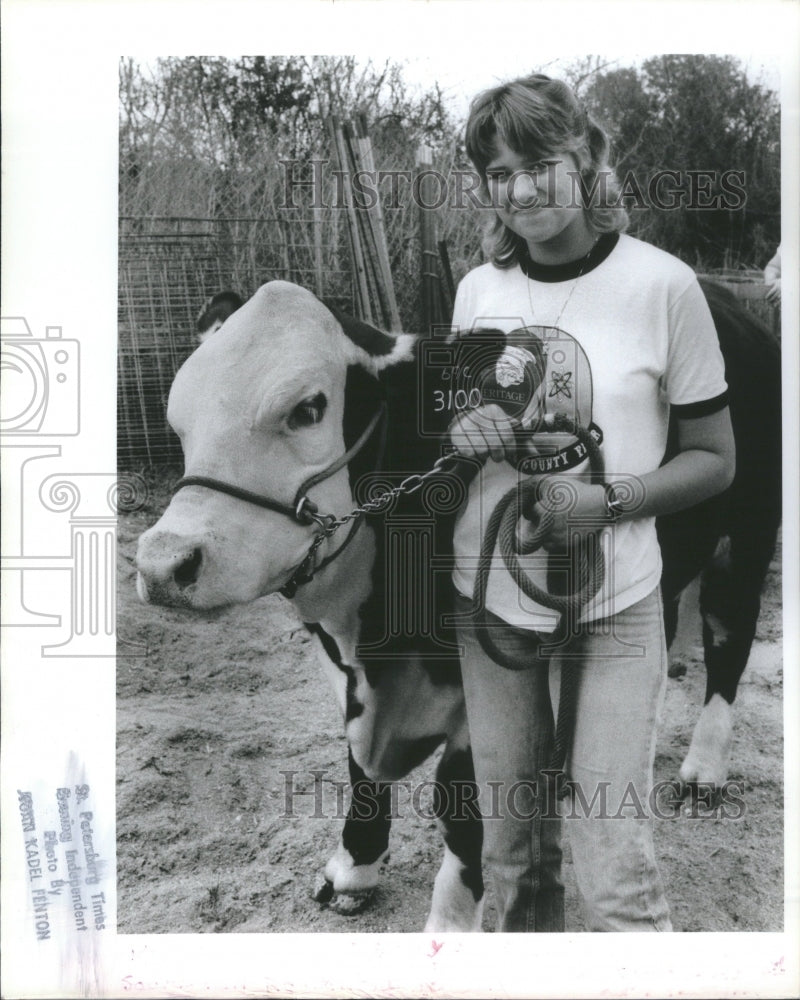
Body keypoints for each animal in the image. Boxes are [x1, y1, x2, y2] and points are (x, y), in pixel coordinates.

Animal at [138, 280, 484, 928]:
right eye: (179, 422)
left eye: (308, 409)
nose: (161, 566)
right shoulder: (344, 674)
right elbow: (358, 768)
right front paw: (355, 867)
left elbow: (462, 805)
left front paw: (451, 924)